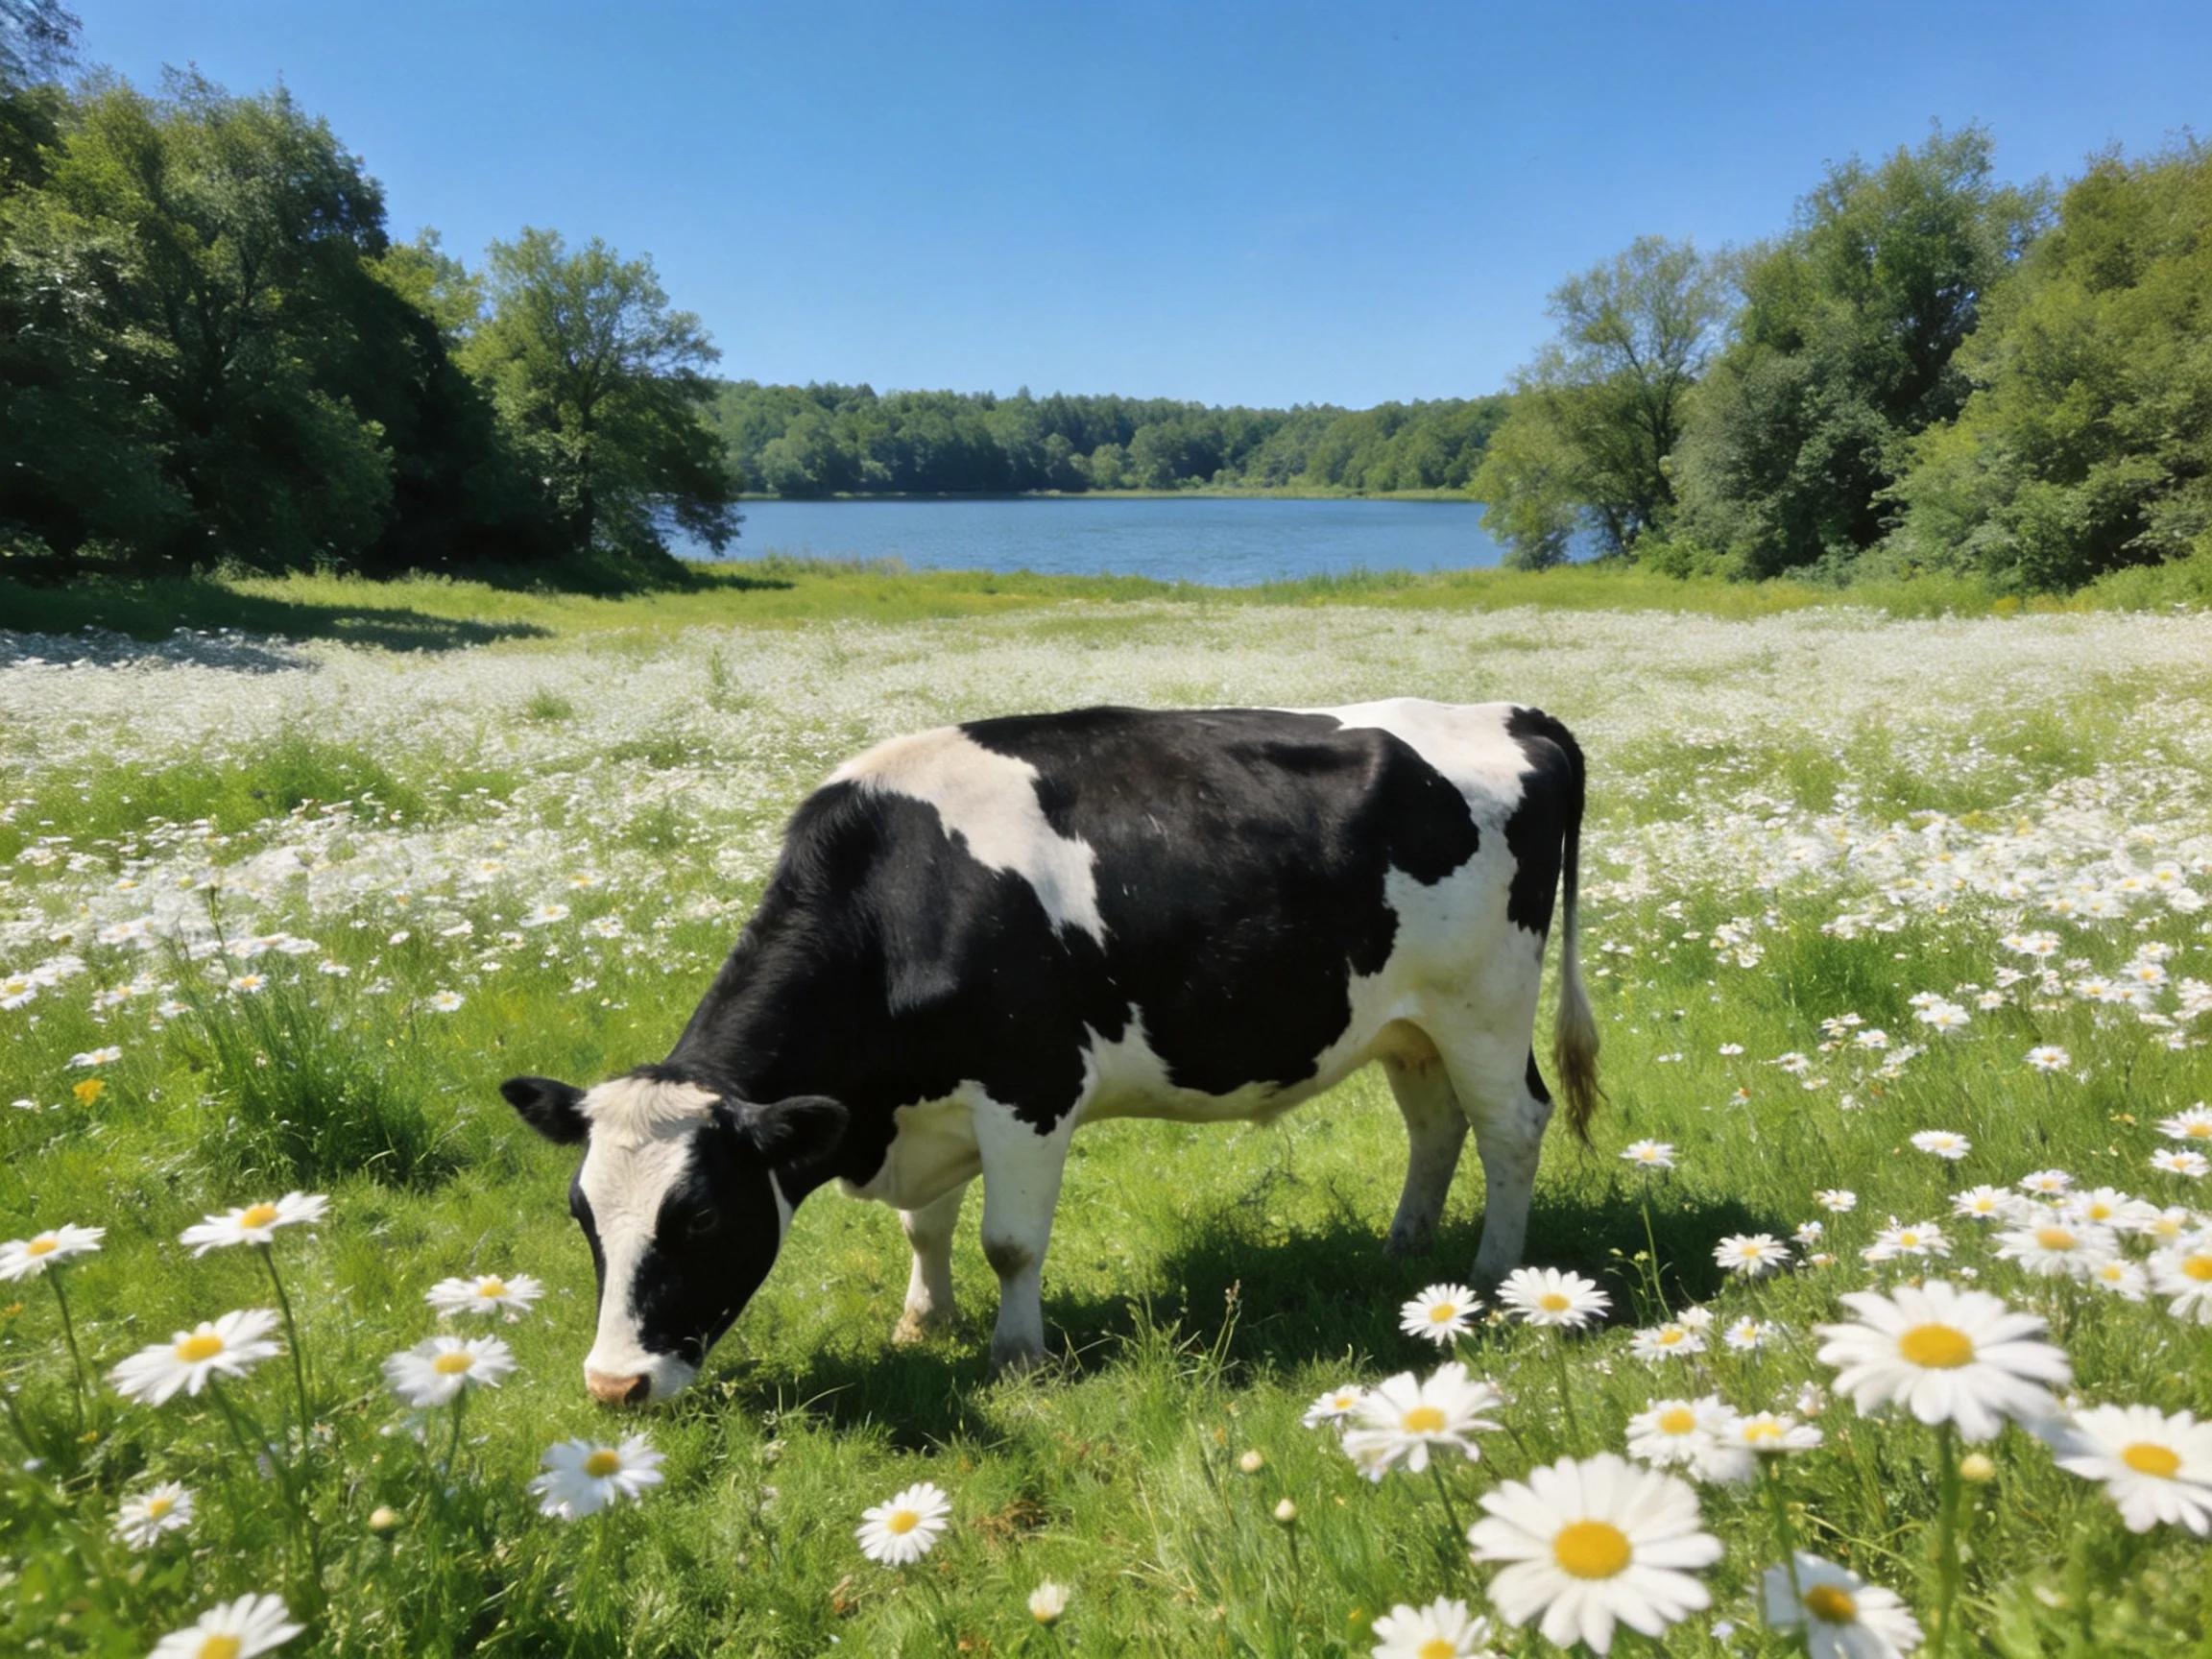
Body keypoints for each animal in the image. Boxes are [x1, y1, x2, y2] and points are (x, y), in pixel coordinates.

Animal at [502, 699, 1598, 1406]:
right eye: (583, 1218)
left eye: (699, 1218)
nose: (612, 1386)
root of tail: (1516, 714)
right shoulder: (930, 1102)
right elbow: (925, 1230)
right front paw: (923, 1321)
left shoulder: (1029, 1089)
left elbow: (1009, 1242)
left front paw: (1017, 1356)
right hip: (1405, 1021)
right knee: (1436, 1122)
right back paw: (1405, 1253)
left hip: (1486, 1001)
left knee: (1512, 1125)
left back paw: (1496, 1277)